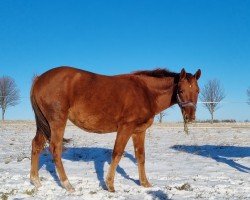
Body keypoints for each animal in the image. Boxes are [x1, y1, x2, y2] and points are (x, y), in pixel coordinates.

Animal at [29, 67, 201, 192]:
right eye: (181, 90)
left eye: (197, 91)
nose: (191, 117)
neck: (145, 91)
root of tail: (39, 79)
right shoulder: (126, 128)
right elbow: (117, 153)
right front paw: (110, 185)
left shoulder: (139, 131)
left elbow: (141, 156)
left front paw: (145, 183)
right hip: (57, 122)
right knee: (55, 148)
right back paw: (67, 184)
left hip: (44, 124)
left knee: (36, 145)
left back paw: (35, 181)